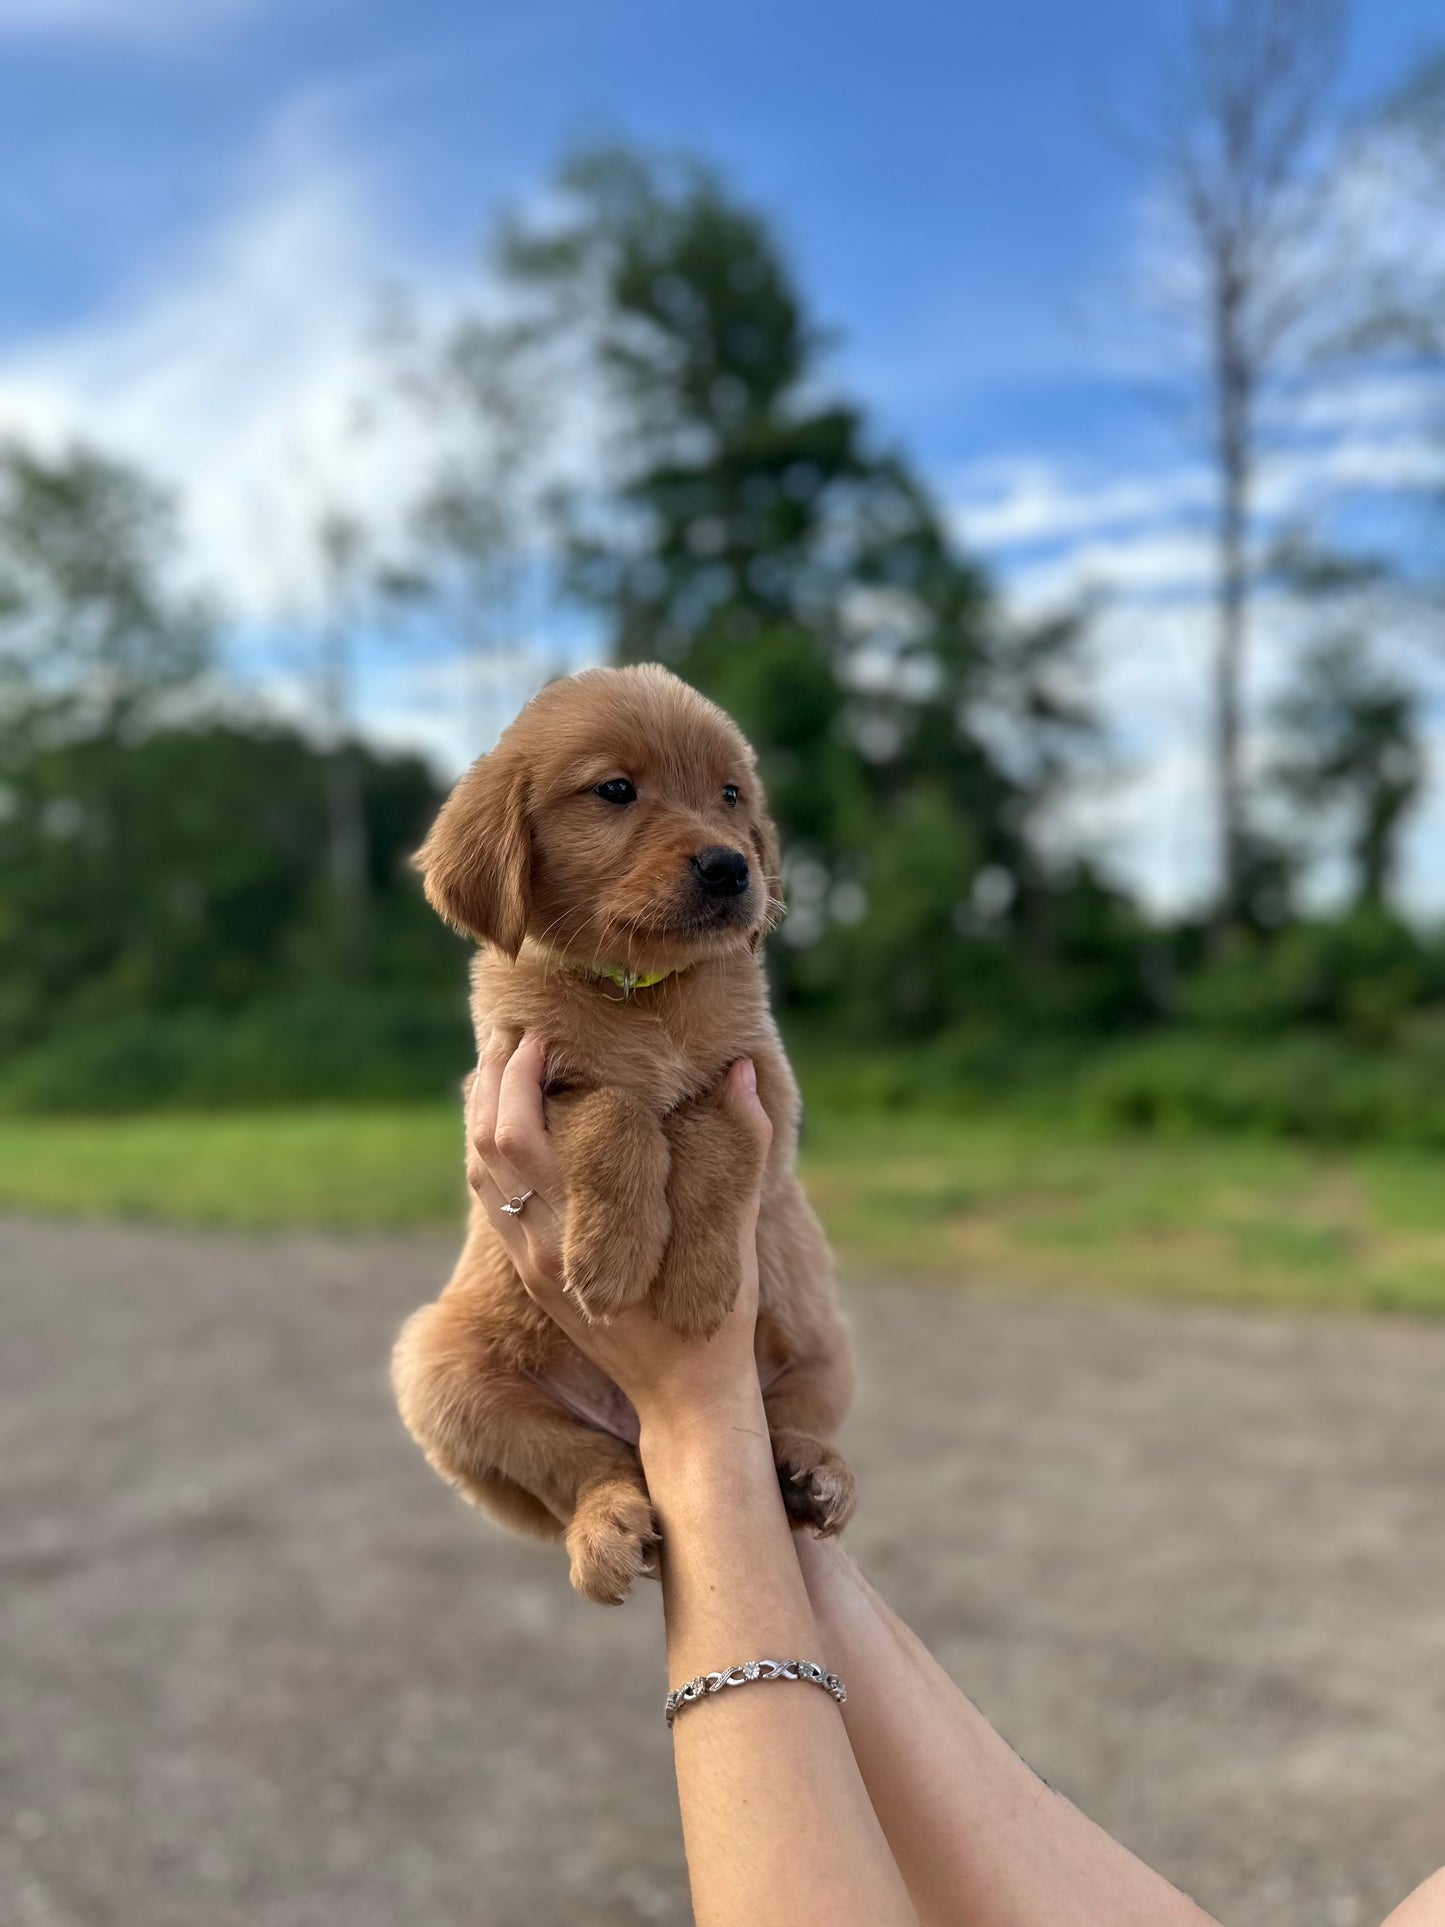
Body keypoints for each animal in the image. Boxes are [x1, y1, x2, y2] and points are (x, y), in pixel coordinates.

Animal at [391, 670, 855, 1603]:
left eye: (730, 794)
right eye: (614, 790)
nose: (730, 865)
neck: (643, 993)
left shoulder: (763, 1085)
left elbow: (707, 1128)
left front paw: (696, 1286)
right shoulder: (516, 1072)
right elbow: (617, 1109)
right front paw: (612, 1256)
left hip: (826, 1345)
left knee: (789, 1417)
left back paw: (815, 1473)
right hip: (438, 1371)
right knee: (587, 1464)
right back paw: (604, 1528)